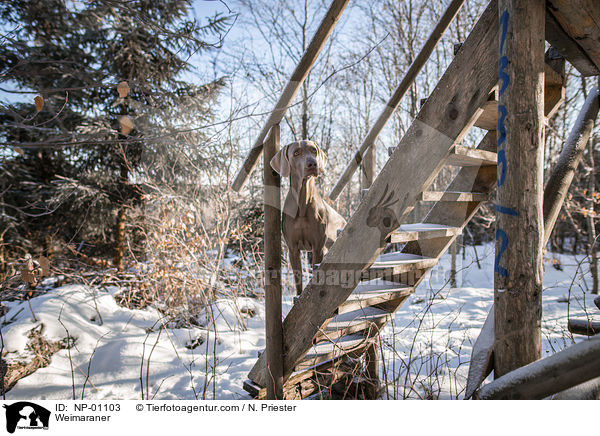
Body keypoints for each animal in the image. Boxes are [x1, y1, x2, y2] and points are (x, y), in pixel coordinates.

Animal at [268, 140, 344, 296]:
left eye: (313, 150)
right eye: (296, 153)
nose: (312, 164)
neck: (302, 203)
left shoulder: (317, 247)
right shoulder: (292, 249)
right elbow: (298, 278)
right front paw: (298, 296)